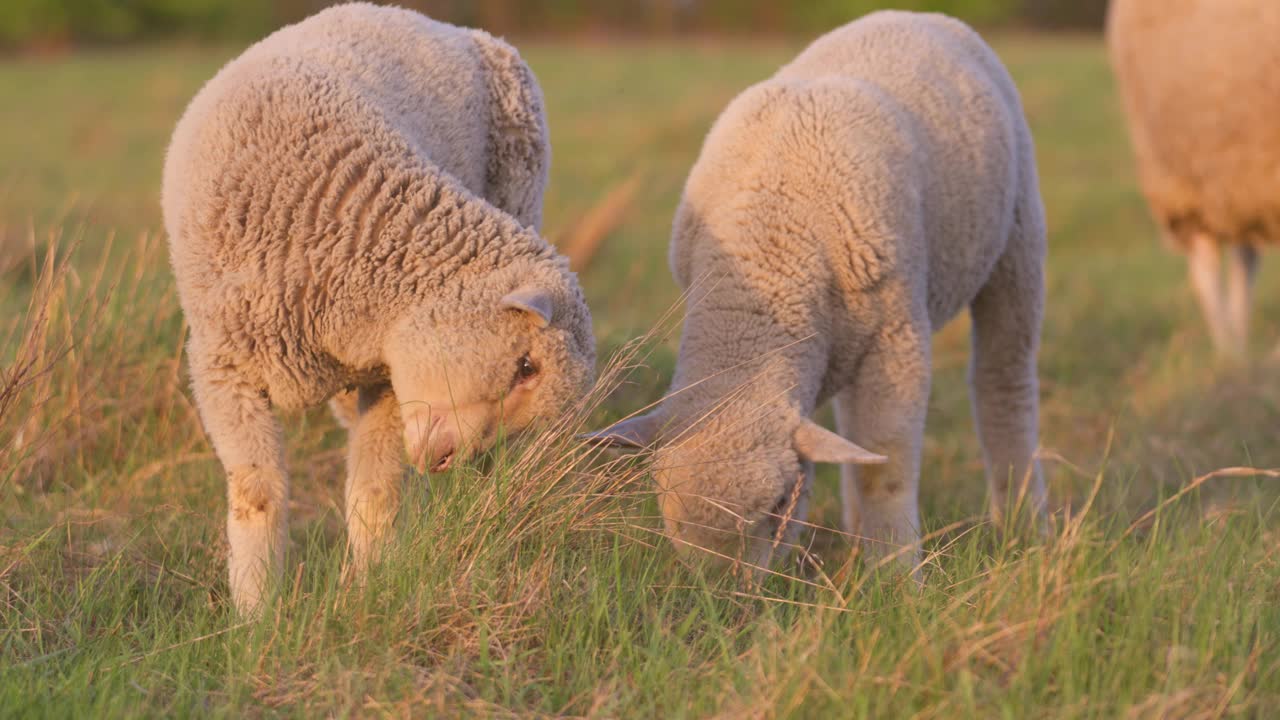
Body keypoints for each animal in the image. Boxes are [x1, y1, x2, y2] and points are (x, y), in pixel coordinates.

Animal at [162, 2, 596, 614]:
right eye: (526, 366)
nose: (447, 461)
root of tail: (430, 21)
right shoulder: (224, 371)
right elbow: (258, 494)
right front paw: (255, 613)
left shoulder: (387, 380)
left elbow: (375, 493)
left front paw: (368, 592)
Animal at [586, 9, 1044, 571]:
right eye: (665, 509)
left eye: (779, 502)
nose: (722, 591)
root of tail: (913, 14)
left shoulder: (898, 337)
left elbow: (884, 466)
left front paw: (896, 574)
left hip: (1017, 236)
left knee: (1003, 379)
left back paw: (1025, 523)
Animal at [1105, 0, 1274, 358]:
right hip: (1184, 176)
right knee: (1206, 266)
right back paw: (1229, 350)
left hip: (1237, 181)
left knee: (1243, 260)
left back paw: (1240, 343)